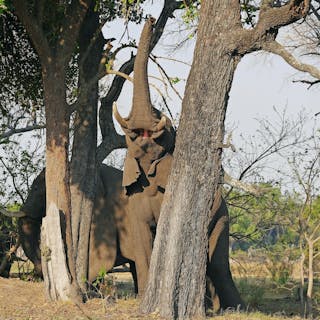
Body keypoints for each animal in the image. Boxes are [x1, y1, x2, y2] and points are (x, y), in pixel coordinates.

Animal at [111, 16, 244, 310]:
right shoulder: (134, 199)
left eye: (168, 127)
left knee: (217, 263)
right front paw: (143, 298)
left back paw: (234, 308)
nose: (150, 18)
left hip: (222, 217)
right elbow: (142, 240)